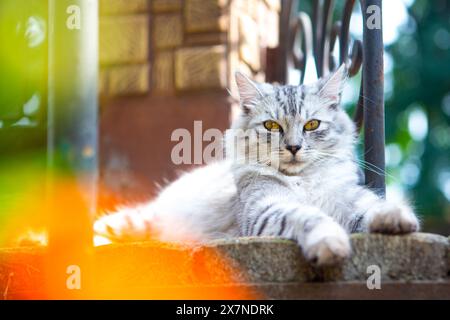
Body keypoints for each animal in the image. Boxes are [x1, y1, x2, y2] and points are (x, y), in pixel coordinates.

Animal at [93, 64, 420, 264]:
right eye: (272, 126)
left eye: (312, 125)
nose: (293, 147)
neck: (302, 181)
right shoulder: (267, 208)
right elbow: (310, 218)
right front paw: (329, 245)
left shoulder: (345, 199)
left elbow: (370, 208)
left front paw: (397, 219)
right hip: (138, 221)